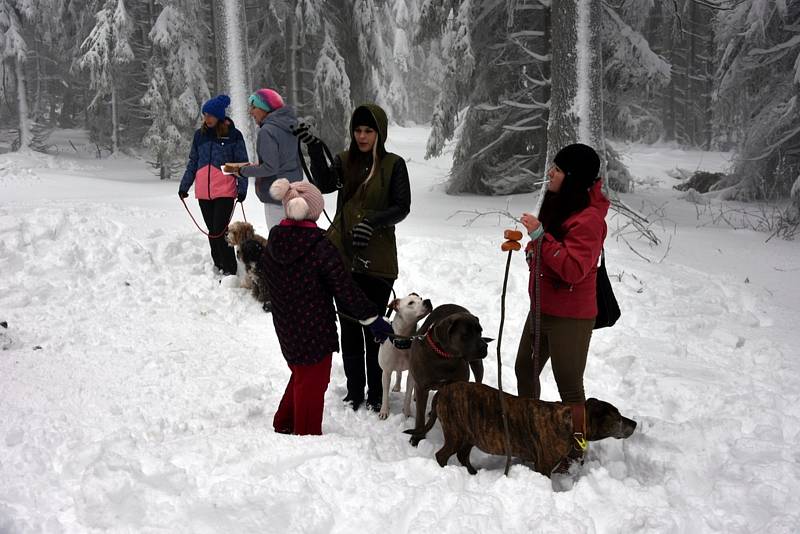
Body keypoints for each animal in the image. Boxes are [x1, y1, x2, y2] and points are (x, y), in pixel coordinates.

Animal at [380, 294, 434, 422]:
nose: (428, 301)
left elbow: (408, 394)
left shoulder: (412, 373)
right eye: (410, 303)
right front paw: (384, 411)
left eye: (421, 299)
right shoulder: (386, 372)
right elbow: (385, 393)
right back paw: (397, 386)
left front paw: (406, 413)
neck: (402, 340)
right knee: (399, 373)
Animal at [406, 306, 488, 448]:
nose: (485, 346)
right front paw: (417, 437)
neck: (444, 357)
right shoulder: (421, 387)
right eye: (466, 334)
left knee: (479, 379)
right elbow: (420, 416)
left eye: (480, 332)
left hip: (477, 364)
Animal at [424, 386, 636, 478]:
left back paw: (472, 473)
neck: (572, 420)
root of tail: (441, 391)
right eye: (618, 418)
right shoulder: (544, 464)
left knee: (462, 455)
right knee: (442, 455)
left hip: (469, 434)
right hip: (456, 433)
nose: (634, 423)